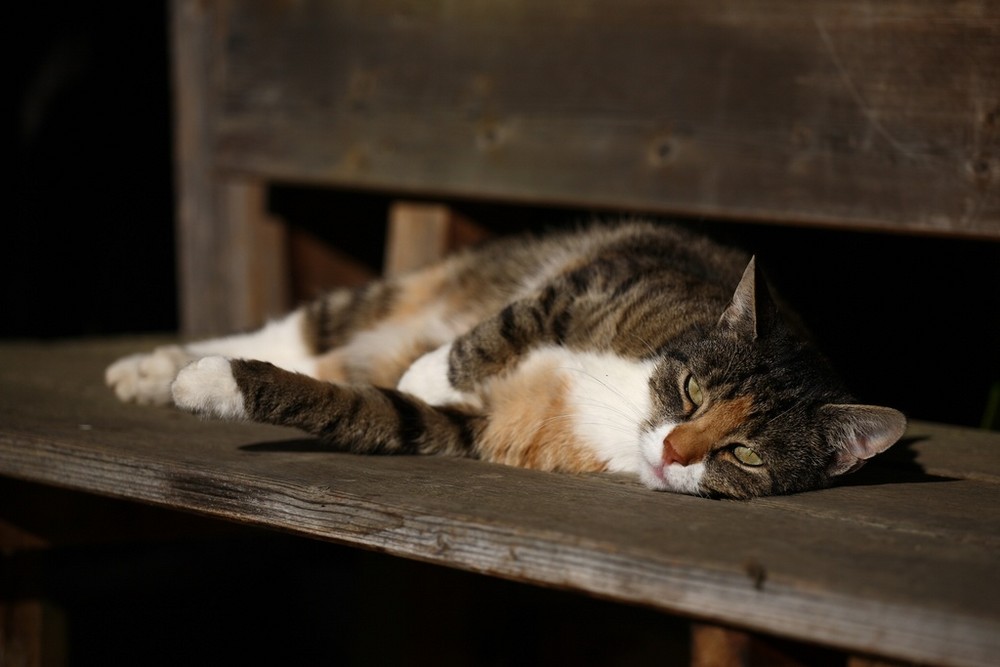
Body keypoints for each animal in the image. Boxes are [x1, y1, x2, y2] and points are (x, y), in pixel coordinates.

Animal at [107, 222, 908, 498]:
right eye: (689, 390)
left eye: (744, 452)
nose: (676, 450)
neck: (627, 410)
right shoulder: (601, 281)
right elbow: (507, 324)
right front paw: (431, 367)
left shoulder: (468, 430)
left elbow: (367, 409)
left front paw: (212, 387)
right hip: (412, 289)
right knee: (298, 331)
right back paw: (153, 364)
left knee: (326, 365)